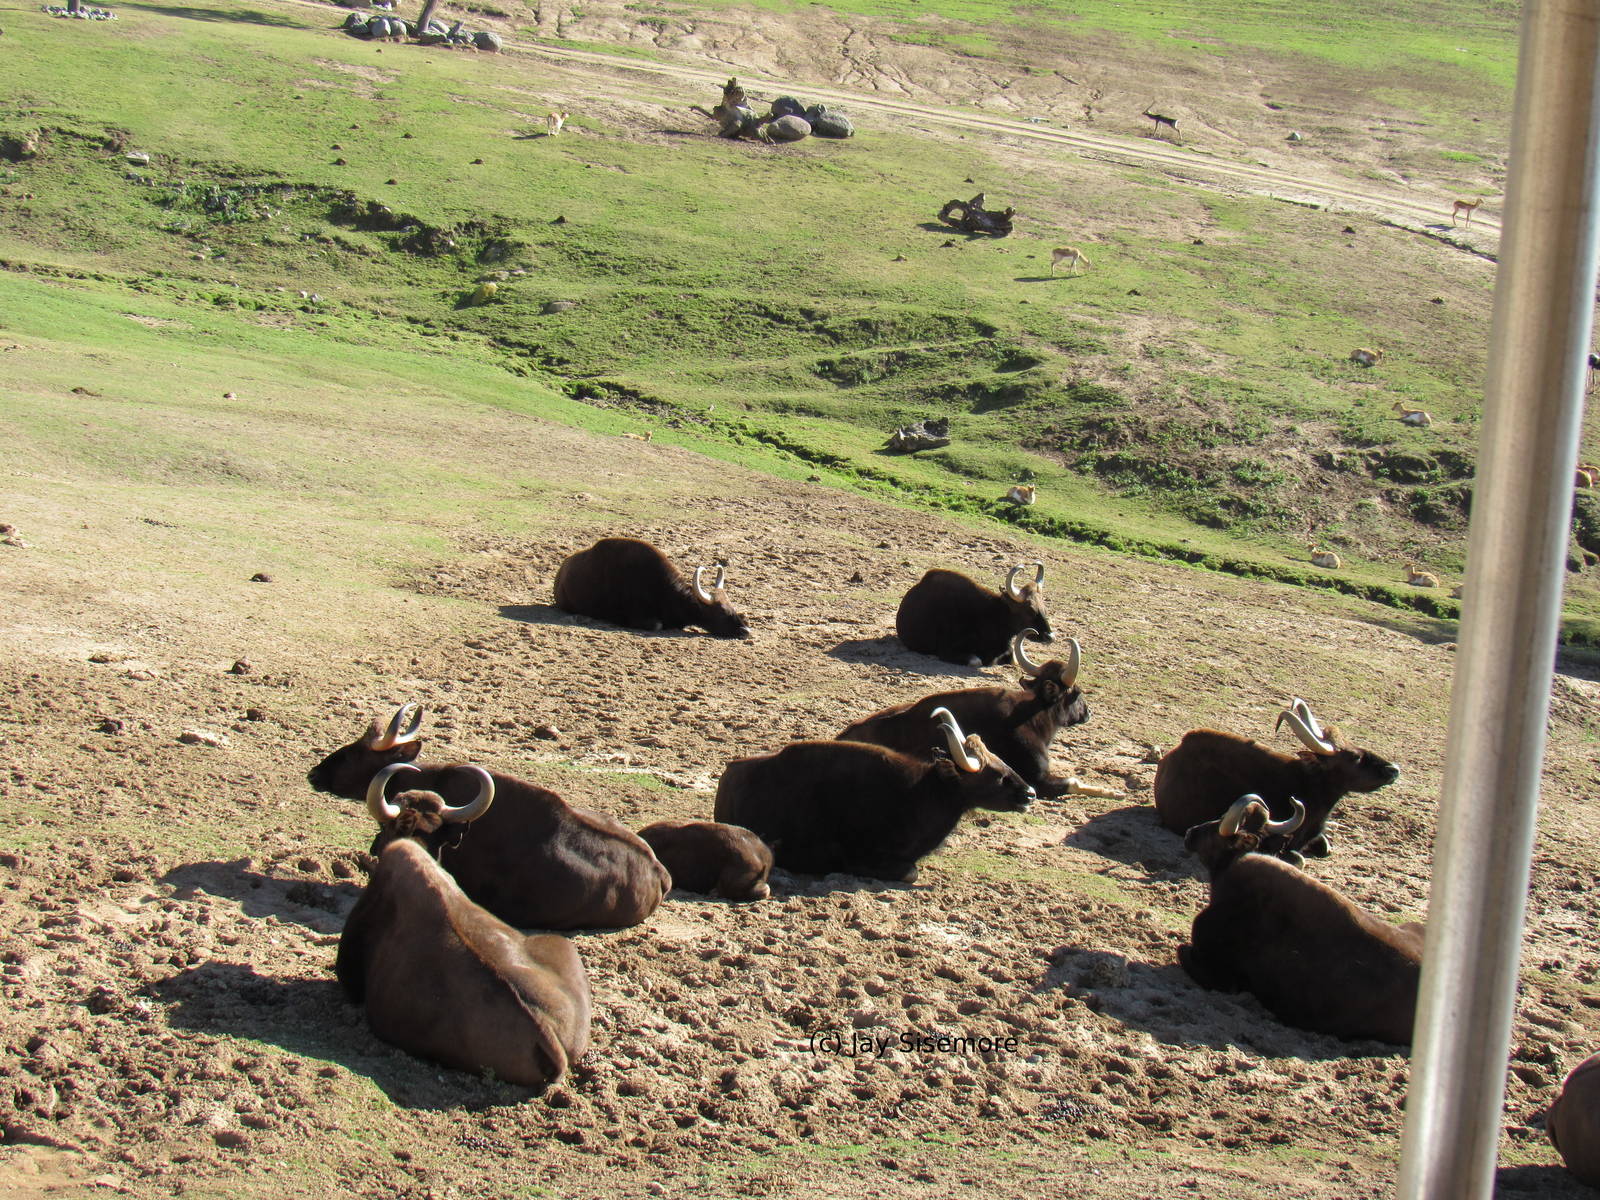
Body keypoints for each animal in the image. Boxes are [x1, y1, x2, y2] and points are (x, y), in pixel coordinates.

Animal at [895, 563, 1052, 666]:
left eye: (1044, 607)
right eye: (1029, 609)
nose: (1050, 636)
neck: (991, 615)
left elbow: (1013, 659)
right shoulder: (947, 650)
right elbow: (976, 661)